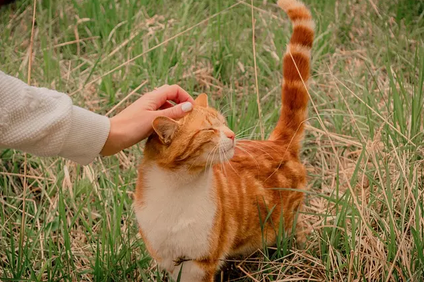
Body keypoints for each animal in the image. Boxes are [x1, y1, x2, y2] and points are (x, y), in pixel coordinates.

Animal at [134, 0, 314, 280]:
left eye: (223, 122)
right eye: (209, 129)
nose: (232, 134)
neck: (177, 189)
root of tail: (277, 143)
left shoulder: (201, 262)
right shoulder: (167, 258)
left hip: (285, 226)